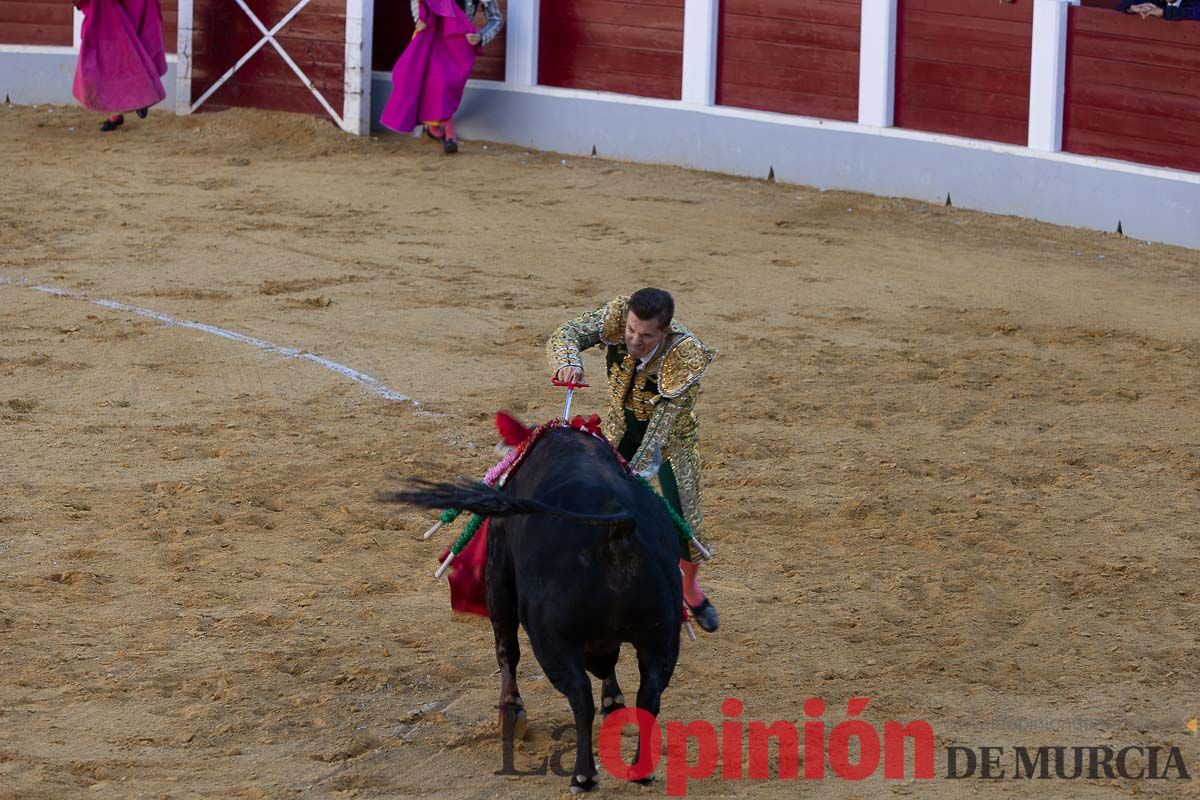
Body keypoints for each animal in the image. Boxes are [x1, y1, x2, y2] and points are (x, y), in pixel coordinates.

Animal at [386, 429, 686, 791]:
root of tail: (619, 531)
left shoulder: (498, 574)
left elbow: (507, 650)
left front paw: (510, 714)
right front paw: (613, 700)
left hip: (551, 640)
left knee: (579, 695)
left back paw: (583, 775)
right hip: (662, 639)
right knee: (649, 695)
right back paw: (640, 770)